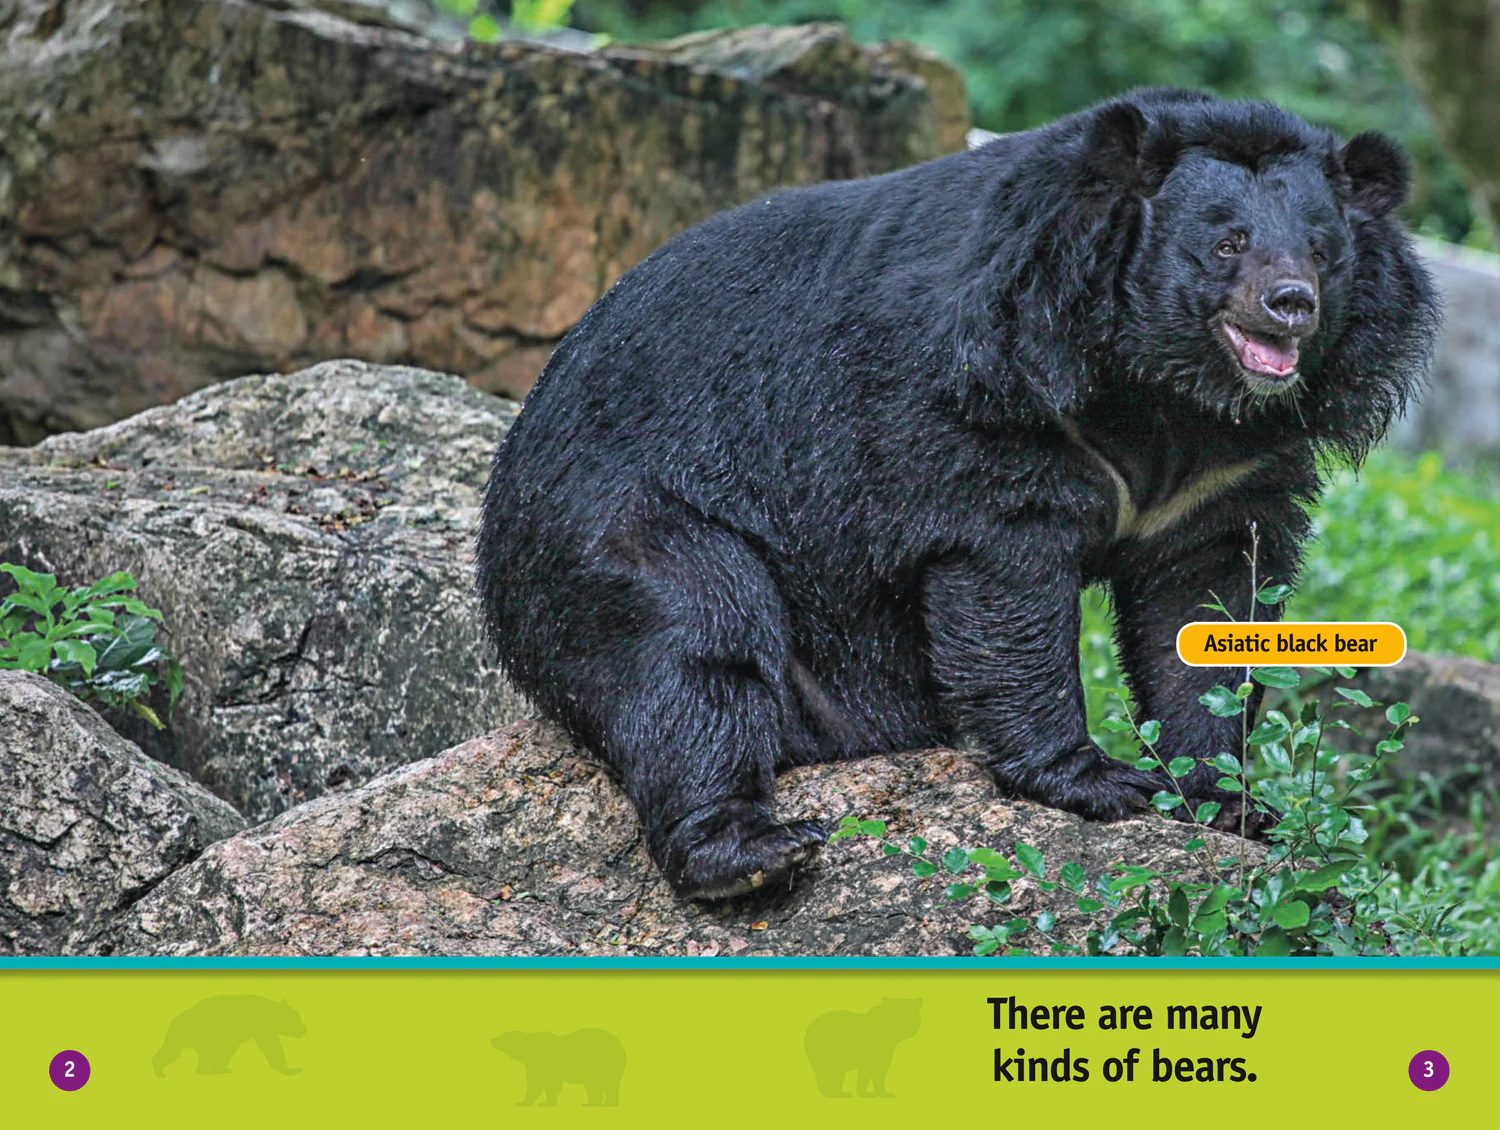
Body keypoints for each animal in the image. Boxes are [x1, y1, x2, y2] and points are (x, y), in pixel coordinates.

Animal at [152, 995, 306, 1076]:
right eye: (297, 1020)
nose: (305, 1030)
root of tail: (174, 1021)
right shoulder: (261, 1028)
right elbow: (272, 1047)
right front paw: (290, 1069)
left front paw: (221, 1067)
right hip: (189, 1036)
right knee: (171, 1051)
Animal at [476, 88, 1440, 900]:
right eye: (1228, 241)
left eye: (1323, 250)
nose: (1291, 304)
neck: (1163, 392)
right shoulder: (990, 396)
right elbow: (1005, 583)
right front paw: (1101, 781)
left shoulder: (1234, 466)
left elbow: (1206, 609)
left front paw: (1228, 800)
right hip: (624, 522)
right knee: (693, 644)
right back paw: (754, 853)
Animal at [490, 1029, 626, 1106]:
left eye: (502, 1036)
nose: (492, 1039)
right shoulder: (538, 1066)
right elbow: (544, 1083)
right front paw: (542, 1102)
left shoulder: (543, 1063)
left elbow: (541, 1083)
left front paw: (526, 1102)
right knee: (602, 1085)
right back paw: (599, 1103)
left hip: (603, 1064)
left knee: (604, 1084)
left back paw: (601, 1103)